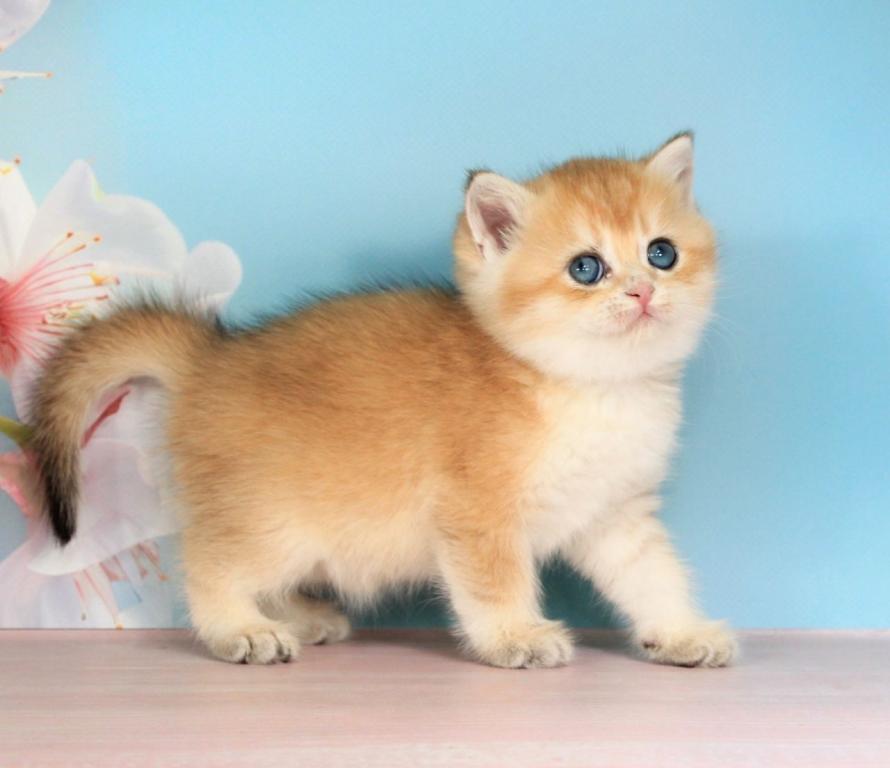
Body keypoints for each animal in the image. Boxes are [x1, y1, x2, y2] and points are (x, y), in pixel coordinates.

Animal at [30, 132, 736, 668]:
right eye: (586, 268)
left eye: (662, 253)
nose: (644, 290)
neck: (593, 388)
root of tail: (208, 358)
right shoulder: (476, 512)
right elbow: (494, 582)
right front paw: (514, 637)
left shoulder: (617, 515)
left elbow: (654, 575)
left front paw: (682, 632)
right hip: (272, 521)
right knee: (209, 565)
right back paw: (241, 629)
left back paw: (297, 617)